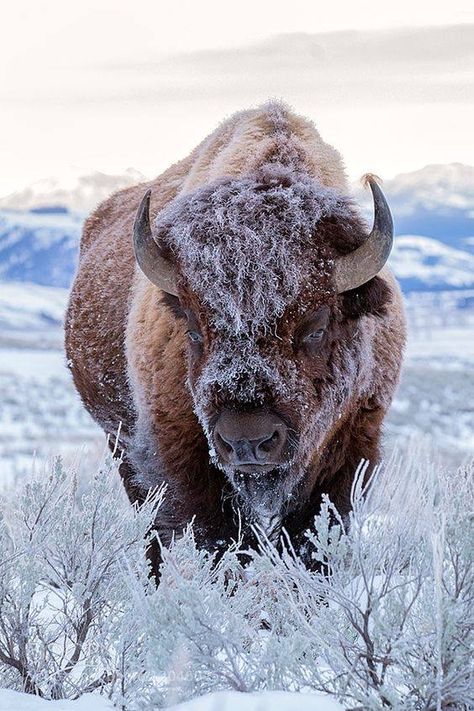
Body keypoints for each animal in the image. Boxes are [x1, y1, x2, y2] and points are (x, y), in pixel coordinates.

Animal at [65, 101, 408, 568]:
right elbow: (217, 541)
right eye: (193, 329)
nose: (247, 441)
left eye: (316, 327)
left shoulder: (352, 450)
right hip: (121, 446)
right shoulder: (180, 461)